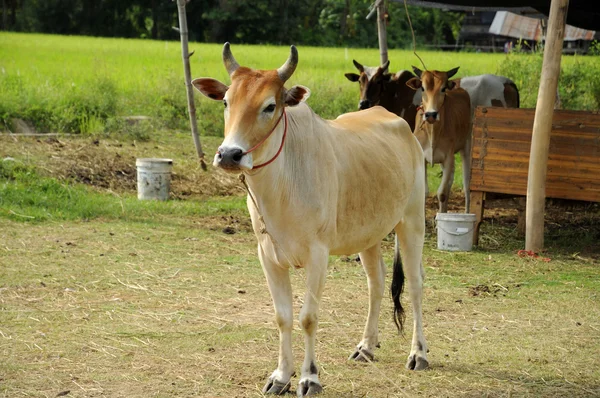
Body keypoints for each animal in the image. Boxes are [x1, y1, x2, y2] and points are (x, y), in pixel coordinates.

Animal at [192, 43, 426, 394]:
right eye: (225, 102)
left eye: (270, 106)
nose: (230, 155)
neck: (281, 186)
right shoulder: (268, 256)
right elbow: (283, 317)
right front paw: (280, 376)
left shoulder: (318, 254)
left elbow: (308, 318)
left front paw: (309, 377)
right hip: (368, 234)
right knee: (376, 283)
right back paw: (366, 346)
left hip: (412, 221)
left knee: (414, 284)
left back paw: (418, 354)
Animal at [408, 67, 474, 215]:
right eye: (422, 87)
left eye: (443, 88)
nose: (431, 114)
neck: (432, 132)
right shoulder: (422, 158)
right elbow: (424, 193)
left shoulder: (449, 157)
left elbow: (443, 194)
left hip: (467, 147)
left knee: (466, 186)